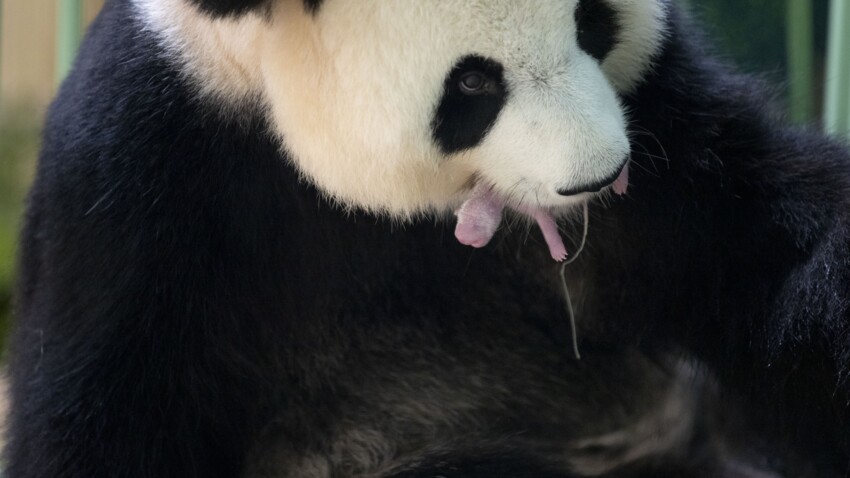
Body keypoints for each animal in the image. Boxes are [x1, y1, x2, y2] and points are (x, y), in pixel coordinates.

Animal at [6, 0, 848, 476]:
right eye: (473, 81)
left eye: (592, 21)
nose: (600, 175)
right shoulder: (142, 184)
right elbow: (107, 416)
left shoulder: (664, 123)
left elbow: (755, 261)